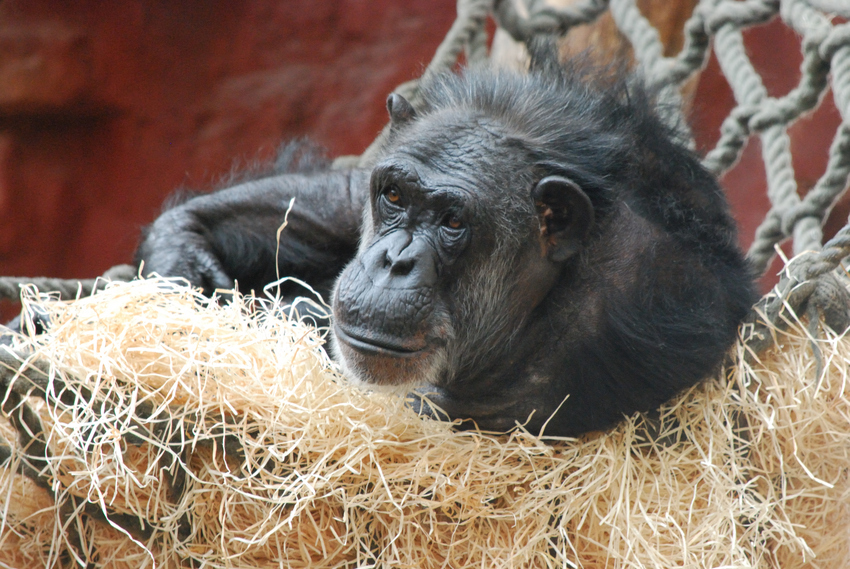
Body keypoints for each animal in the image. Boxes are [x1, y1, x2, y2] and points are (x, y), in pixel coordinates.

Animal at [132, 51, 748, 438]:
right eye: (395, 195)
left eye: (453, 221)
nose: (394, 261)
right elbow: (347, 187)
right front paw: (181, 245)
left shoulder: (616, 310)